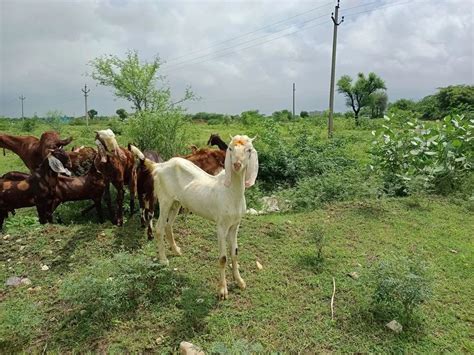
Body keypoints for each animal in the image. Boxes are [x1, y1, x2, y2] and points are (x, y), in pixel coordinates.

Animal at [130, 136, 260, 300]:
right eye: (230, 149)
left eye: (249, 150)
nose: (237, 165)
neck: (230, 192)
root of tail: (159, 166)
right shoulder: (221, 226)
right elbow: (223, 258)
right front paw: (222, 291)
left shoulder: (235, 225)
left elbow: (235, 253)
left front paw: (240, 282)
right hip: (165, 200)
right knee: (159, 228)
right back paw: (164, 259)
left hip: (176, 202)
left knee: (168, 225)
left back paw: (176, 250)